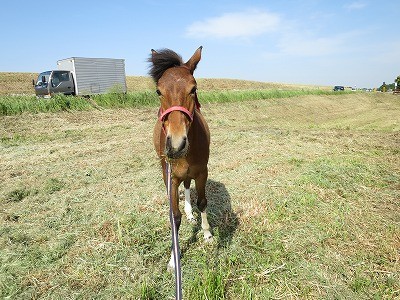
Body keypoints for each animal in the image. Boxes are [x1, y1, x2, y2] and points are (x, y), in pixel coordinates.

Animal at [149, 46, 212, 270]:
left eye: (193, 89)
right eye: (158, 91)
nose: (176, 145)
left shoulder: (202, 172)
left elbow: (202, 201)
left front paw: (207, 233)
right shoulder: (171, 178)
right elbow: (174, 217)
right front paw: (173, 259)